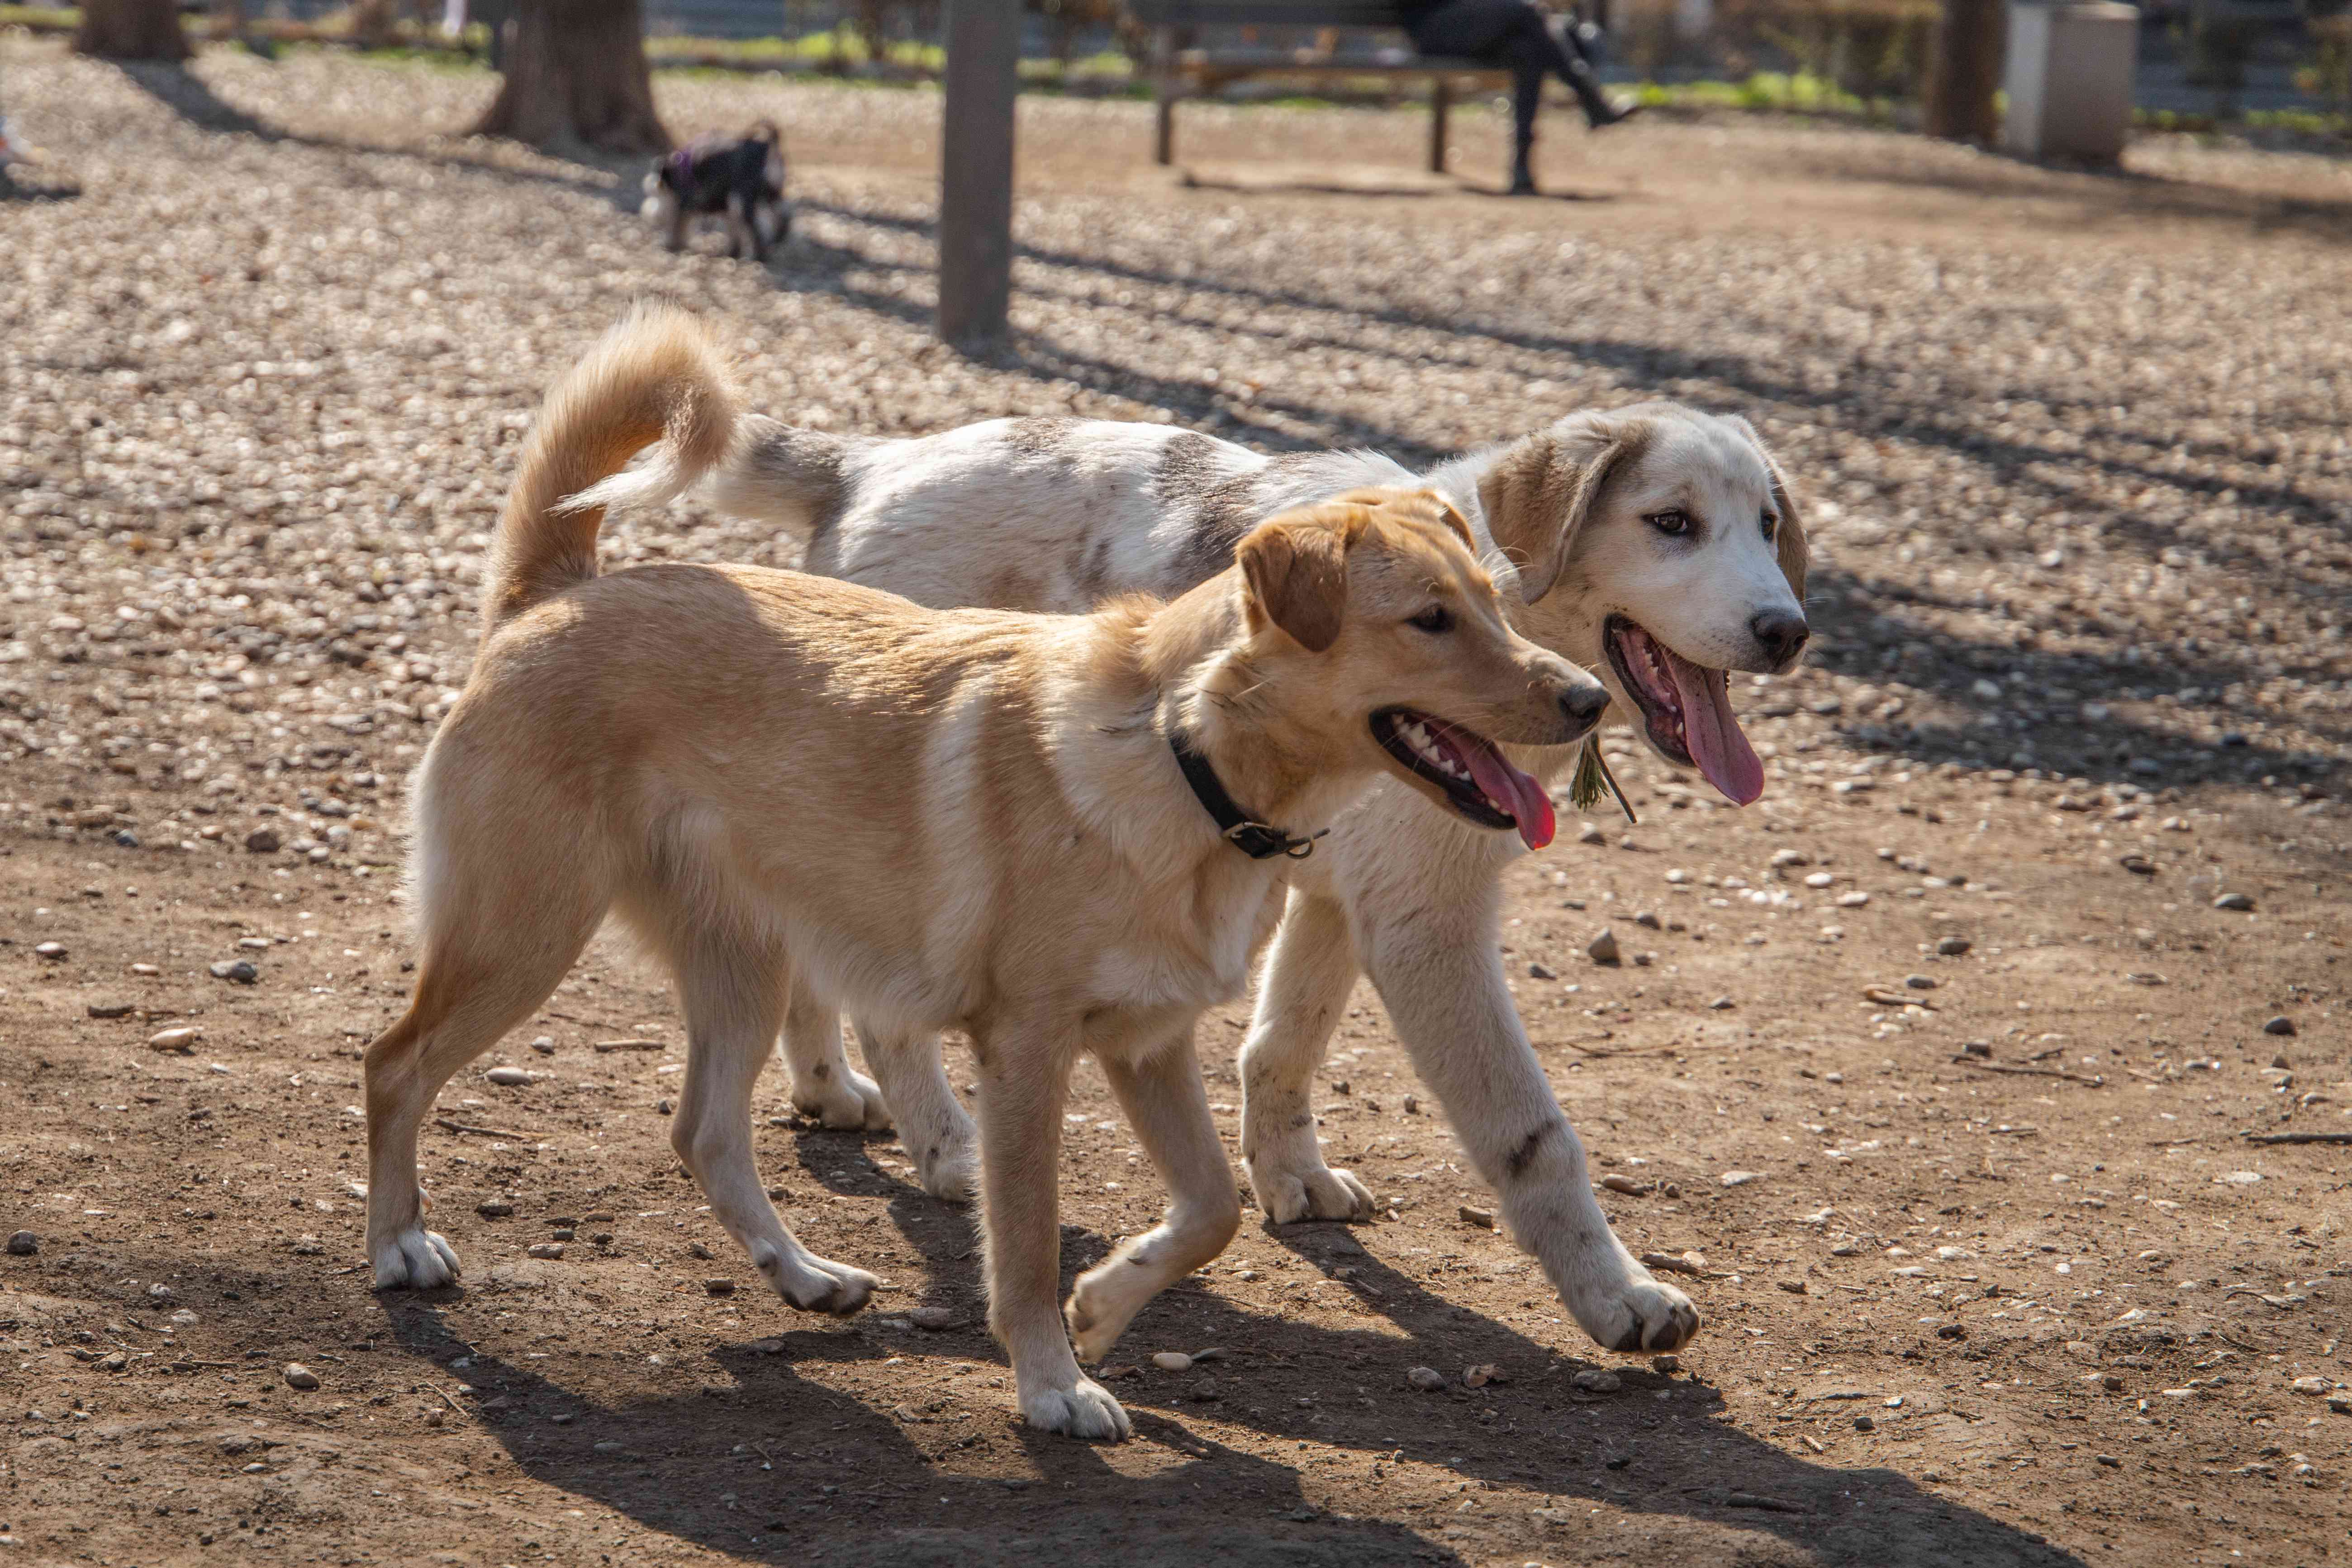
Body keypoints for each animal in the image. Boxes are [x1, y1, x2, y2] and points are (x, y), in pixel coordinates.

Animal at [362, 301, 1618, 1439]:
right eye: (1427, 619)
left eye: (1495, 604)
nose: (1587, 698)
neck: (1179, 753)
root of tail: (560, 588)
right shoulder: (1025, 1052)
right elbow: (1019, 1243)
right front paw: (1053, 1383)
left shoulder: (1148, 1043)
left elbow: (1211, 1207)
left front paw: (1104, 1305)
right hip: (522, 935)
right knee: (395, 1065)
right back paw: (399, 1244)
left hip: (741, 968)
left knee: (705, 1134)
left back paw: (804, 1277)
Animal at [597, 369, 1806, 1363]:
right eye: (1669, 524)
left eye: (1767, 523)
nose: (1787, 630)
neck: (1506, 598)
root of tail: (867, 463)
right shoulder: (1426, 924)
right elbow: (1532, 1133)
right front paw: (1617, 1295)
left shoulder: (1330, 898)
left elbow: (1280, 1046)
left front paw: (1289, 1180)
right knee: (893, 1015)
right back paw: (943, 1142)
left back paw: (825, 1086)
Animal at [644, 121, 790, 261]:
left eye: (654, 193)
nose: (650, 217)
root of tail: (768, 148)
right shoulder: (722, 206)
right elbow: (732, 230)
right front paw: (732, 252)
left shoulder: (682, 205)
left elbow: (676, 227)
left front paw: (670, 246)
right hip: (770, 195)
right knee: (781, 217)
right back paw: (775, 242)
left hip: (741, 202)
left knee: (756, 231)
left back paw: (756, 257)